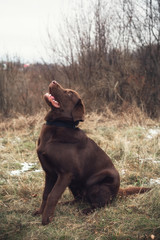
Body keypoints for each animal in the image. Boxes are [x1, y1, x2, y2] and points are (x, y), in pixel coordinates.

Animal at [33, 81, 150, 225]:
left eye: (69, 93)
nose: (54, 81)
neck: (58, 126)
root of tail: (117, 191)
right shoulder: (49, 173)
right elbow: (45, 194)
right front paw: (40, 212)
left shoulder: (65, 174)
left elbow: (52, 195)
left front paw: (46, 219)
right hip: (74, 183)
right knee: (79, 199)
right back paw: (66, 203)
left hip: (95, 185)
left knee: (102, 204)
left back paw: (86, 211)